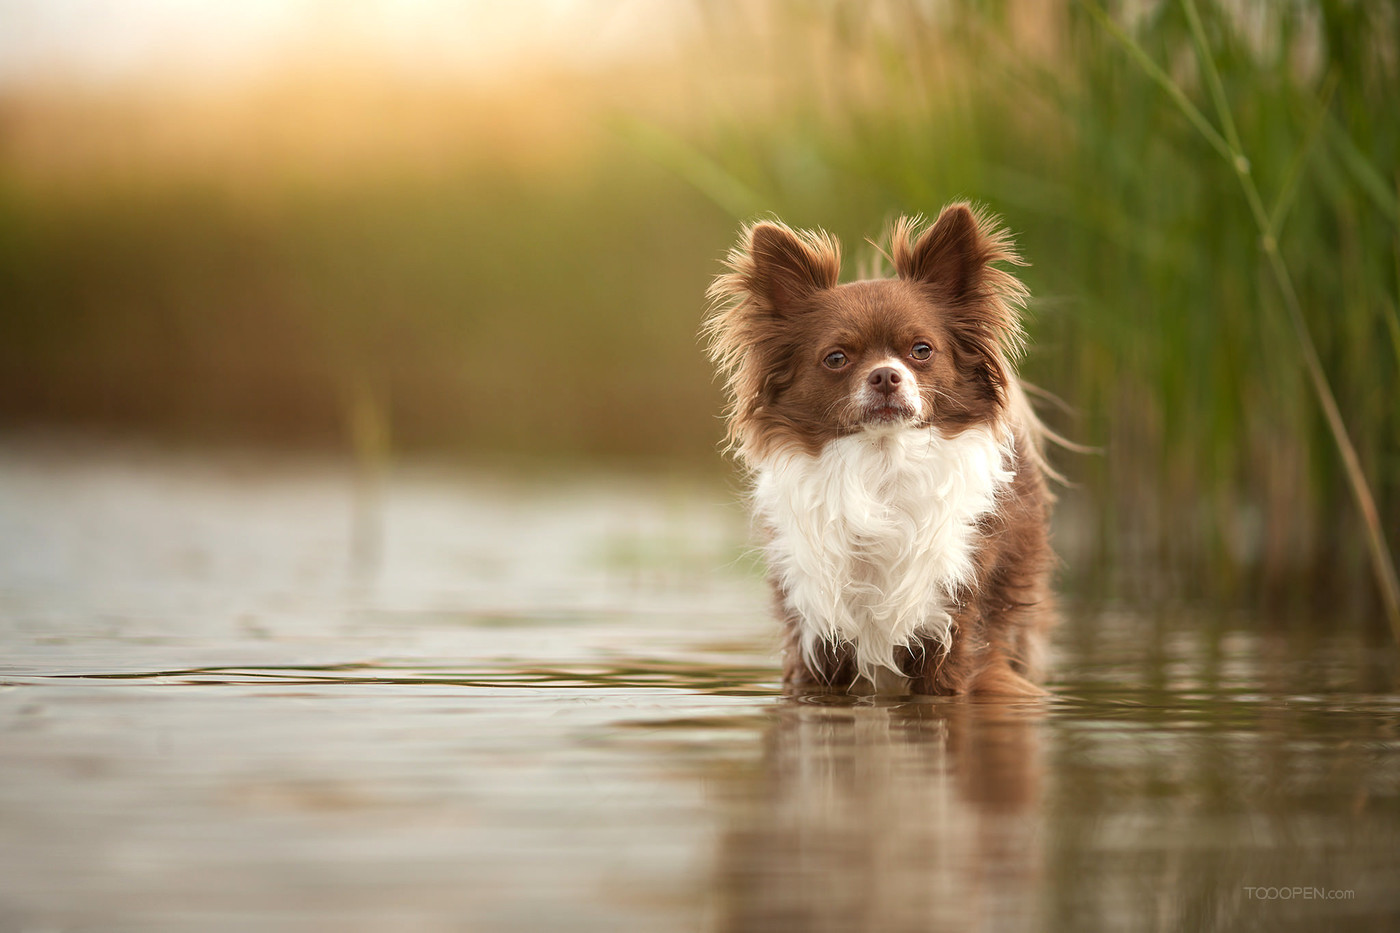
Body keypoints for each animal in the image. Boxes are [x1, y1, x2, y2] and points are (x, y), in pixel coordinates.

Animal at [705, 205, 1052, 697]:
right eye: (836, 358)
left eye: (922, 350)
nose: (886, 374)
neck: (880, 466)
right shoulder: (816, 639)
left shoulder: (954, 632)